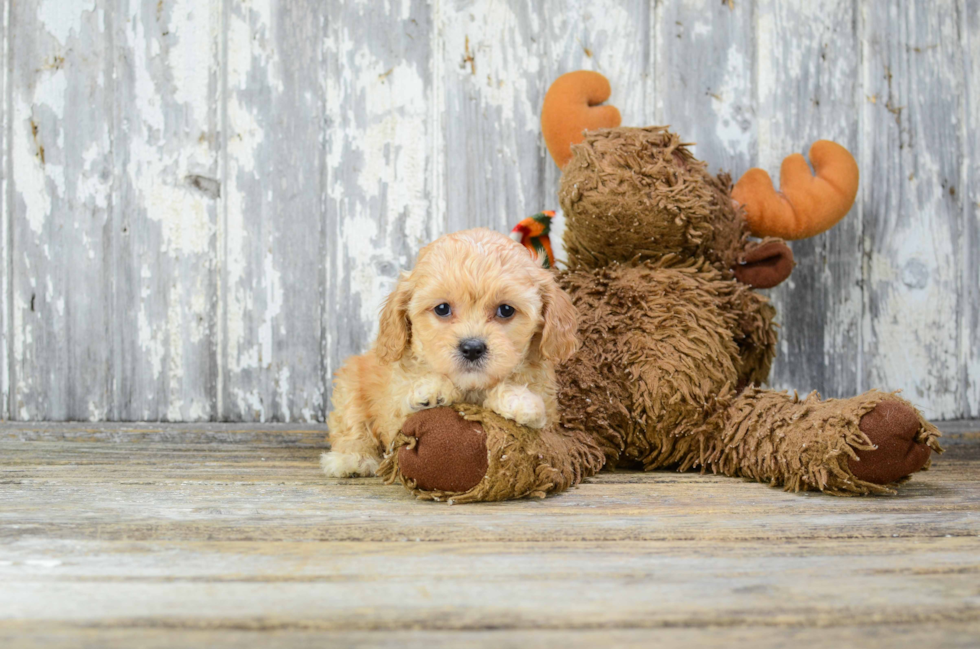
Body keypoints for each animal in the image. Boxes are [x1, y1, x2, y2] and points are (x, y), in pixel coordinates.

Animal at [322, 227, 580, 476]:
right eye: (442, 308)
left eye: (506, 310)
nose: (472, 348)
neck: (471, 389)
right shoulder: (391, 411)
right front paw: (431, 391)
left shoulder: (550, 416)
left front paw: (518, 400)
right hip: (350, 383)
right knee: (351, 425)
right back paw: (352, 459)